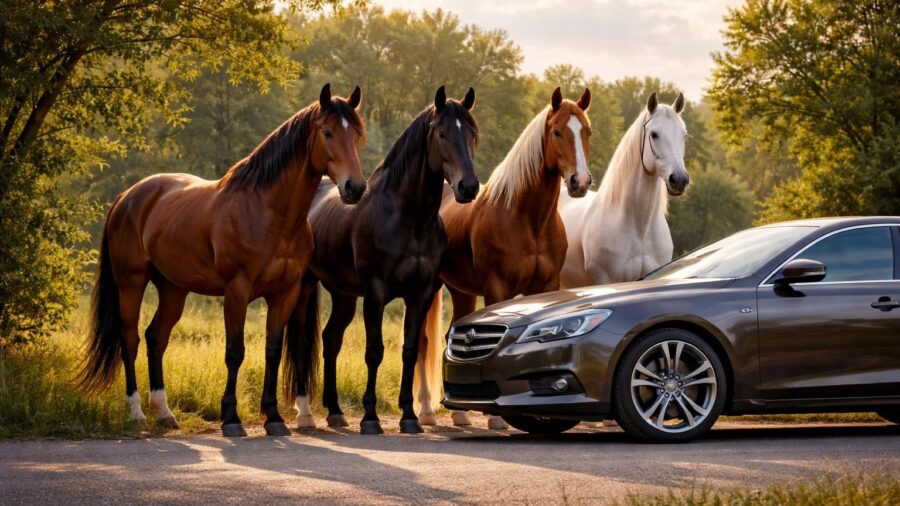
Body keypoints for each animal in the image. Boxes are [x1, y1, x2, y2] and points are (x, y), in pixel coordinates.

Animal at [79, 84, 367, 438]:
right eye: (327, 132)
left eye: (357, 134)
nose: (355, 188)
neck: (268, 213)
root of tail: (127, 197)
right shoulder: (236, 292)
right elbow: (235, 352)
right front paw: (230, 418)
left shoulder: (284, 294)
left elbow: (272, 351)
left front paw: (273, 417)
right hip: (130, 282)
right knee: (129, 338)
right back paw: (136, 413)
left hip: (172, 288)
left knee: (155, 338)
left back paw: (164, 412)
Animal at [285, 86, 479, 434]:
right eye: (441, 133)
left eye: (472, 134)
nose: (468, 187)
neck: (408, 218)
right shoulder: (375, 293)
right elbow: (374, 352)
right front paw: (370, 417)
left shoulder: (420, 294)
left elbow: (410, 350)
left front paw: (409, 416)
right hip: (305, 287)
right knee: (301, 342)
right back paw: (306, 414)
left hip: (343, 295)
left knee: (331, 339)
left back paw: (335, 411)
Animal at [416, 87, 592, 429]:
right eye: (557, 131)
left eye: (587, 131)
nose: (580, 181)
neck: (526, 218)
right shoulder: (497, 287)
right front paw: (497, 420)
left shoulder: (547, 286)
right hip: (428, 288)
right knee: (423, 341)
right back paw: (428, 412)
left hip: (461, 291)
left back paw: (460, 415)